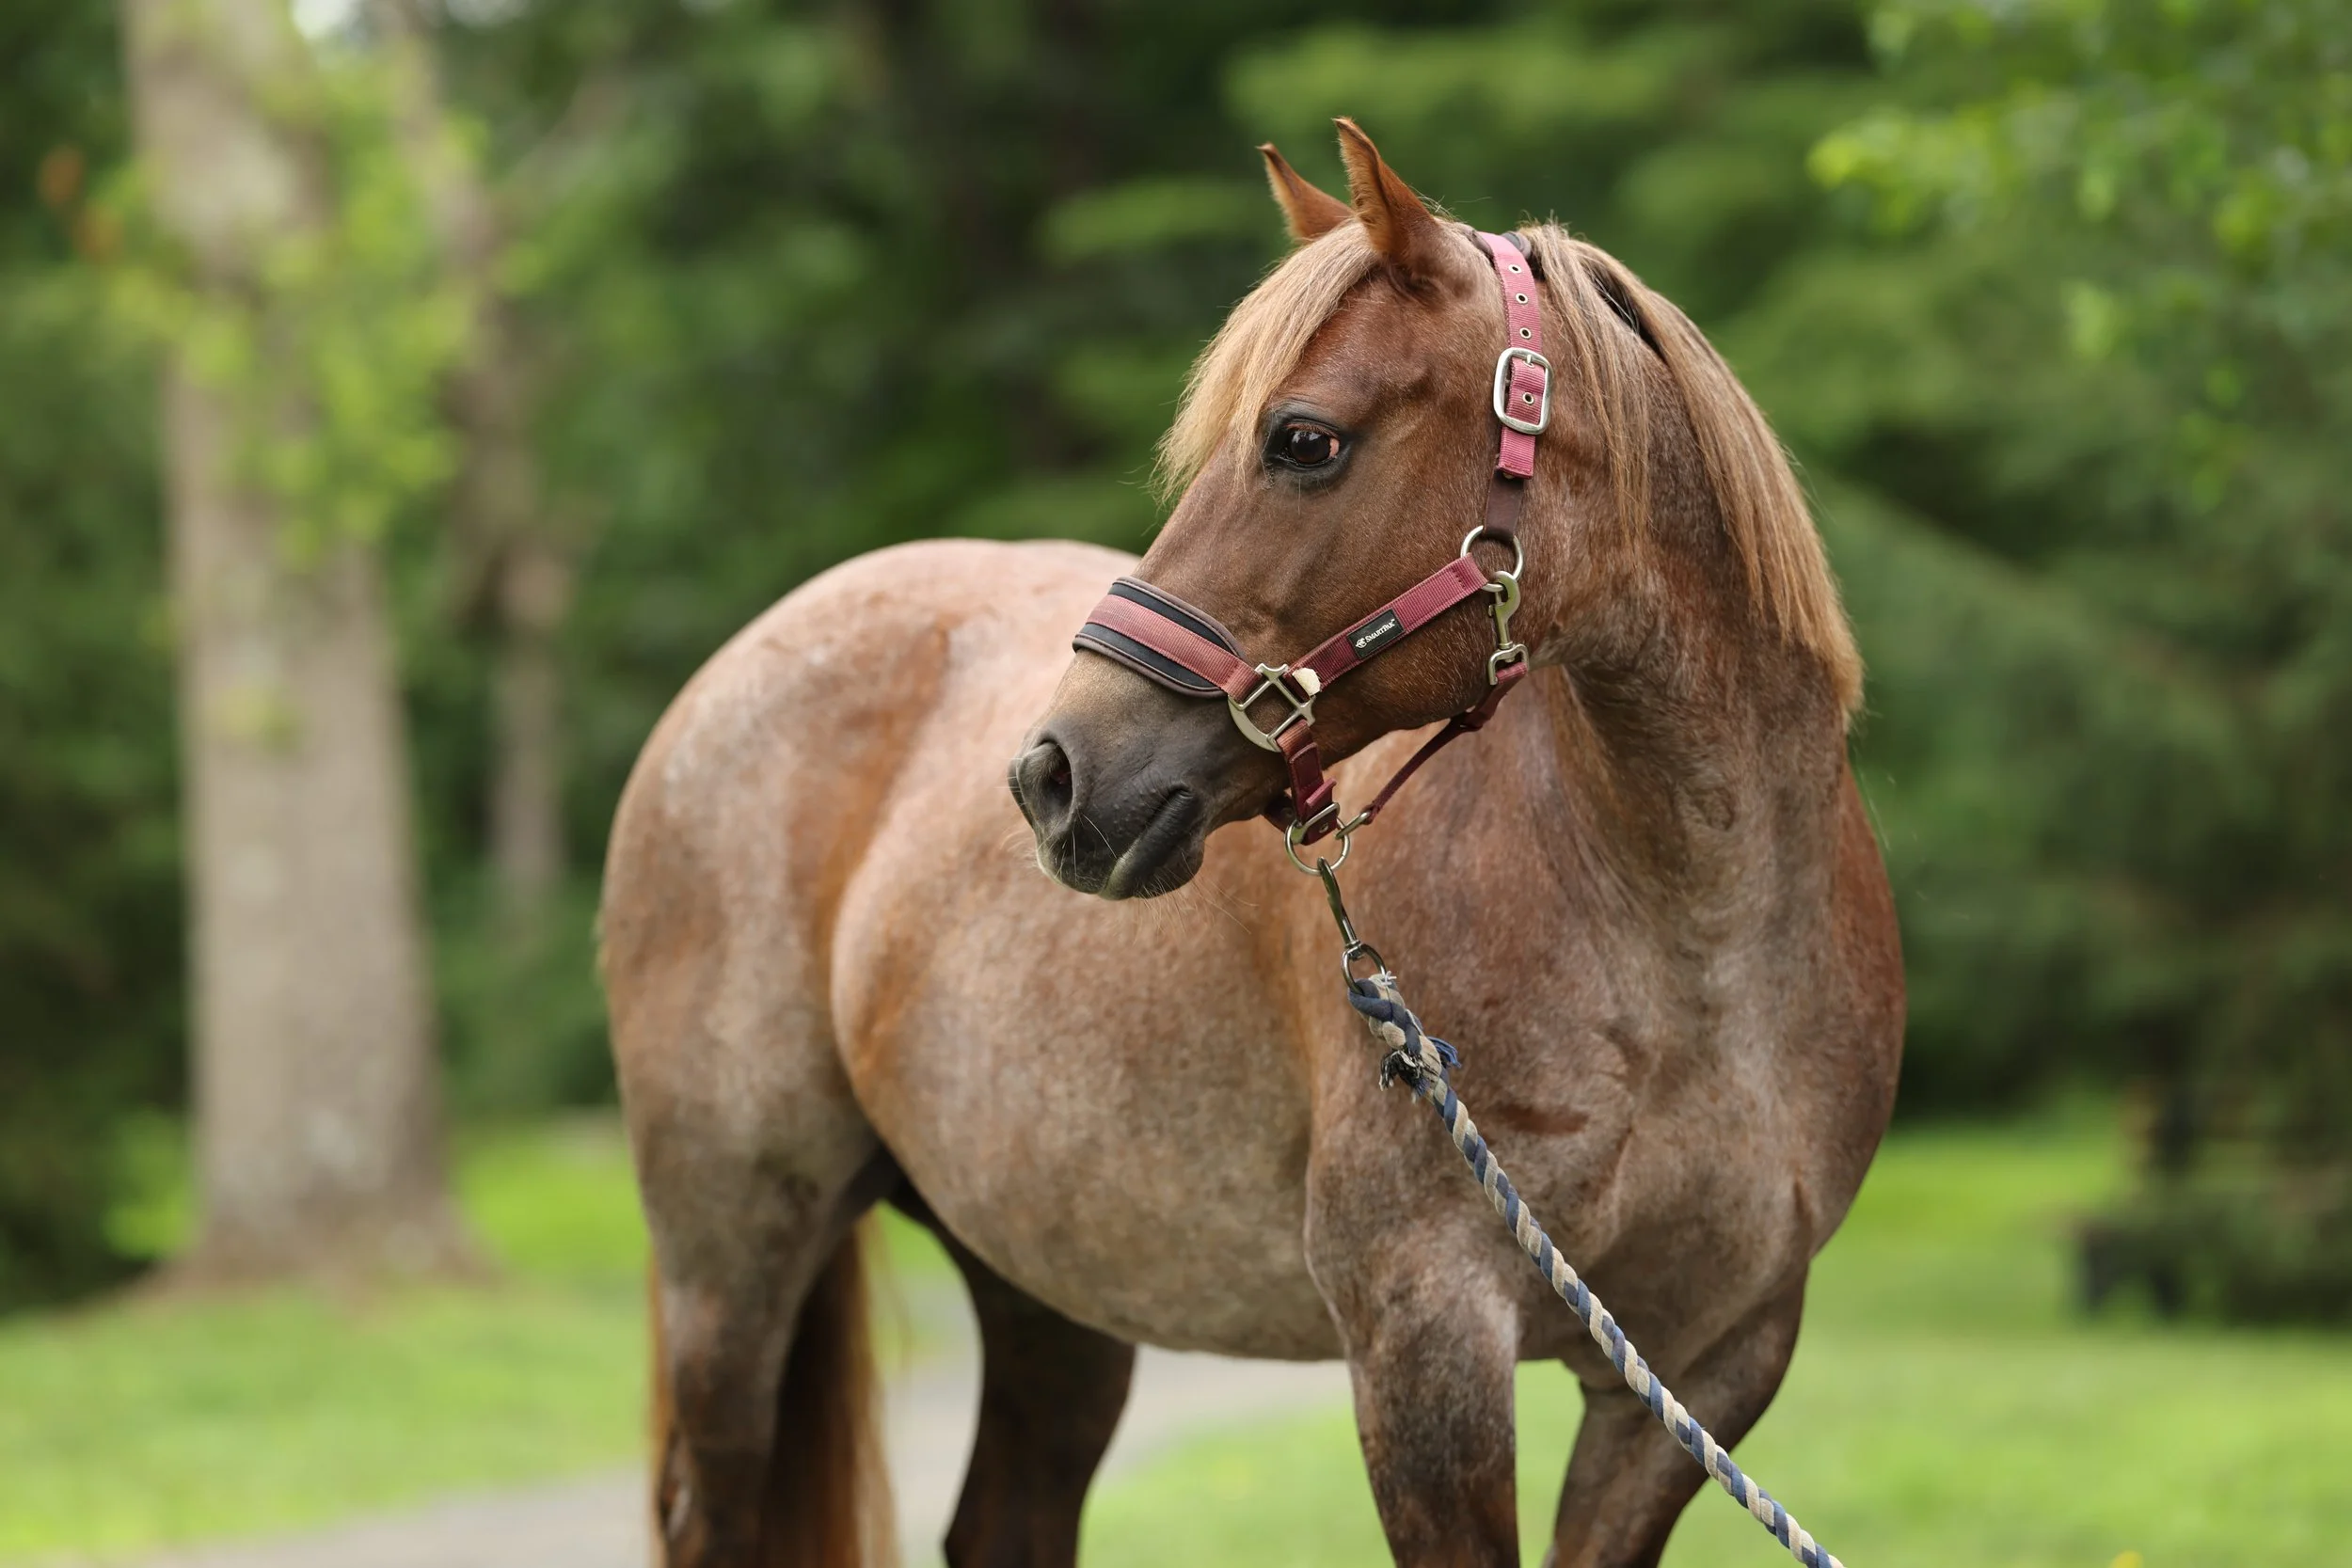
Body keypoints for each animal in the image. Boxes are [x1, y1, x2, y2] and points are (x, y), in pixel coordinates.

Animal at [602, 118, 1903, 1568]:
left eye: (1301, 439)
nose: (1053, 775)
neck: (1696, 944)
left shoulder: (1693, 1378)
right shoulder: (1428, 1340)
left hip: (1045, 1281)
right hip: (733, 1262)